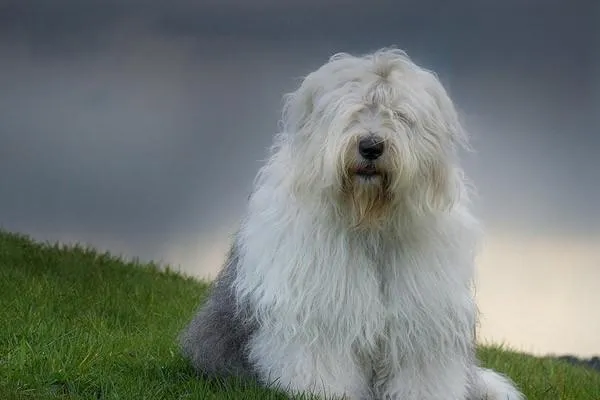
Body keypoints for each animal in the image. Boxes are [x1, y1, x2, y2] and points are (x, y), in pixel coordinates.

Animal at [179, 47, 524, 400]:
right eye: (351, 111)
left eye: (400, 115)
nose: (371, 146)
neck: (369, 220)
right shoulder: (320, 307)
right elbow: (321, 357)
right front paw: (321, 391)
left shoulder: (421, 316)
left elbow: (421, 368)